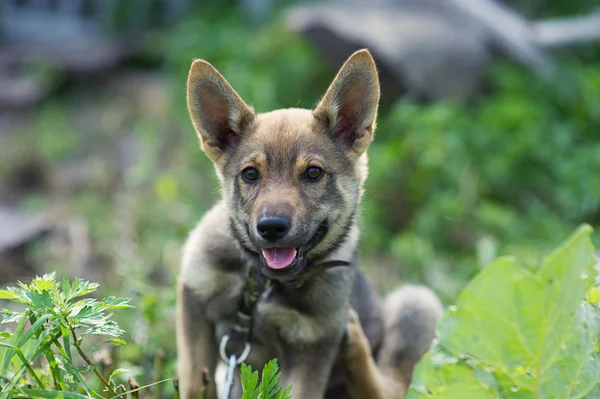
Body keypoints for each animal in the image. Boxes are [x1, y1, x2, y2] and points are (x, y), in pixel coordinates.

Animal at [176, 50, 442, 399]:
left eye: (313, 173)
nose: (271, 227)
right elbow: (194, 383)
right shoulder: (194, 302)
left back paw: (354, 342)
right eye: (250, 174)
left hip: (417, 302)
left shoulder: (308, 351)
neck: (263, 285)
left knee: (391, 386)